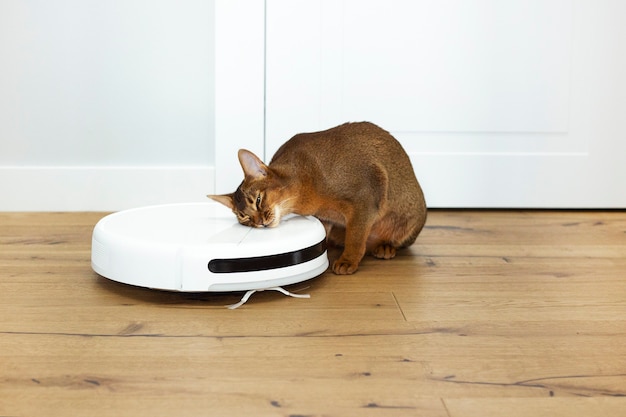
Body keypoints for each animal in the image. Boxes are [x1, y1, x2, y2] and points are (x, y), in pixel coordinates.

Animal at [207, 120, 426, 272]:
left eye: (258, 201)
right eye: (245, 217)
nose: (259, 222)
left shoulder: (366, 198)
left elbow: (355, 236)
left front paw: (348, 260)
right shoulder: (325, 217)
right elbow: (326, 233)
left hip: (409, 221)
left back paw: (385, 247)